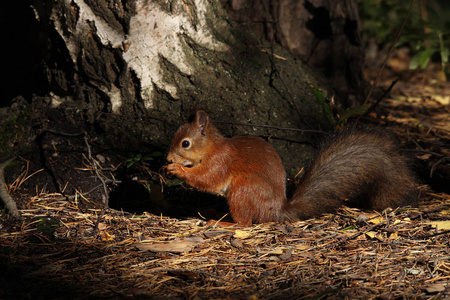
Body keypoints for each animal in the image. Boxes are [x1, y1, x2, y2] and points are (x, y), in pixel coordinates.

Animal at [166, 110, 418, 225]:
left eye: (185, 143)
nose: (168, 159)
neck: (211, 147)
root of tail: (278, 210)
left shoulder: (221, 161)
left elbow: (207, 178)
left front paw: (178, 170)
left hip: (243, 190)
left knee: (245, 223)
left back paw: (224, 223)